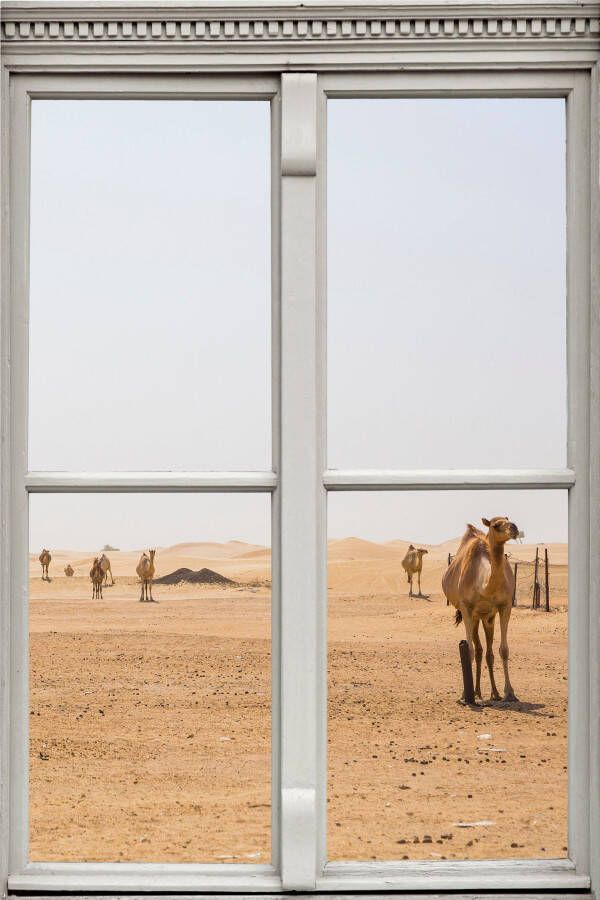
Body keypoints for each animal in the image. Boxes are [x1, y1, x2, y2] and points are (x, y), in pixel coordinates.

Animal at [440, 520, 520, 704]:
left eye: (509, 519)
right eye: (496, 525)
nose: (514, 528)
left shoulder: (505, 606)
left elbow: (503, 650)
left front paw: (509, 693)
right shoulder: (466, 608)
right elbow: (468, 650)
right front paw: (464, 695)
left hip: (487, 618)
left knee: (486, 652)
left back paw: (493, 693)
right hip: (474, 617)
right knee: (478, 650)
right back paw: (475, 692)